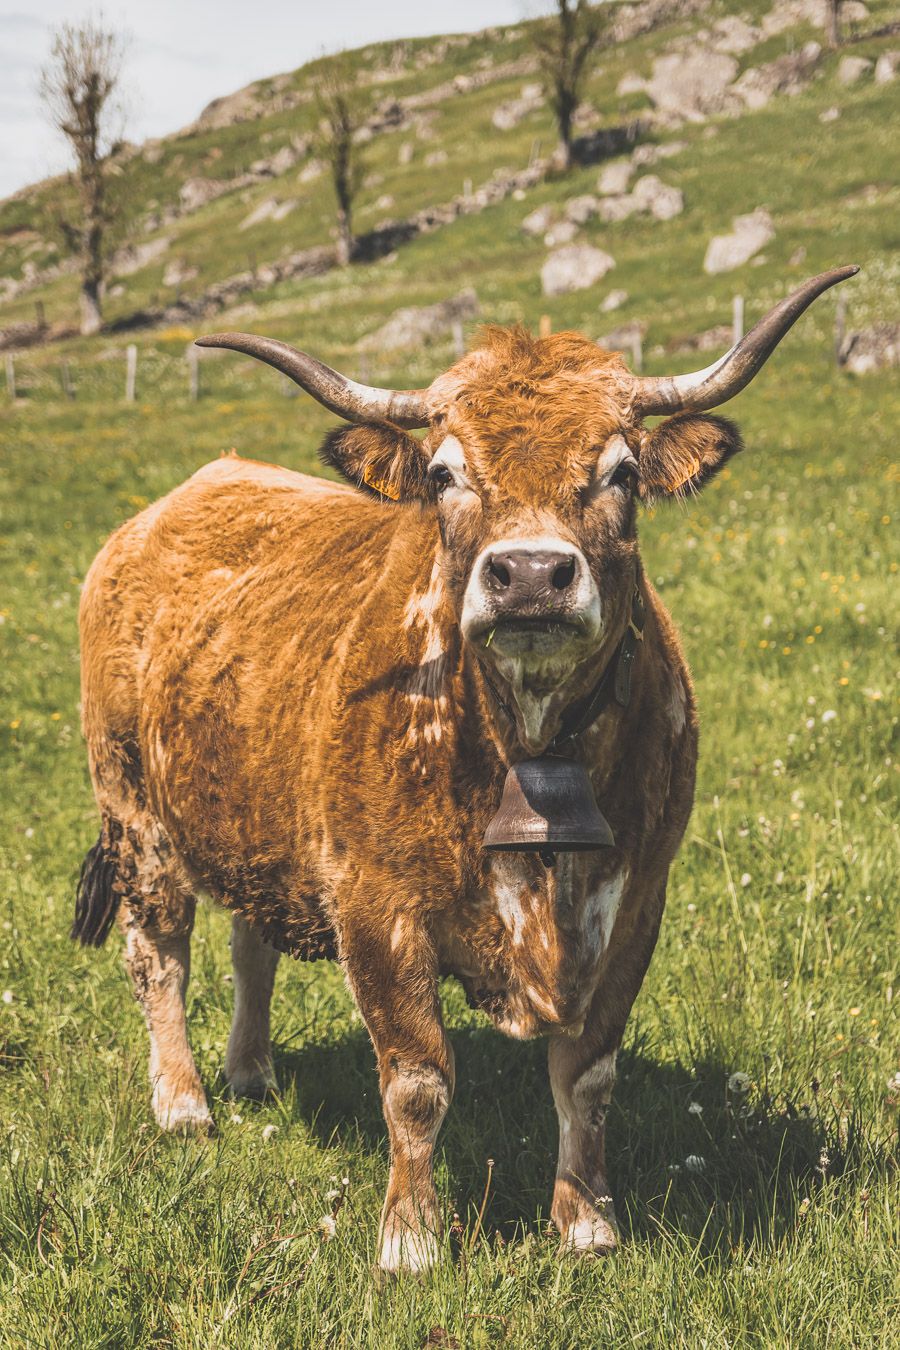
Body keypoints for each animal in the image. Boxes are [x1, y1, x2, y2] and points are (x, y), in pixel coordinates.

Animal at [73, 265, 858, 1274]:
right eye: (444, 474)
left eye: (622, 472)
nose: (528, 574)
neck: (528, 746)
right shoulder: (376, 907)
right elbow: (417, 1079)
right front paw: (411, 1239)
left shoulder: (638, 899)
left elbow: (587, 1074)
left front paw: (586, 1221)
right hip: (135, 813)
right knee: (159, 955)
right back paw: (184, 1103)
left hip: (259, 823)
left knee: (253, 945)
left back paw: (251, 1073)